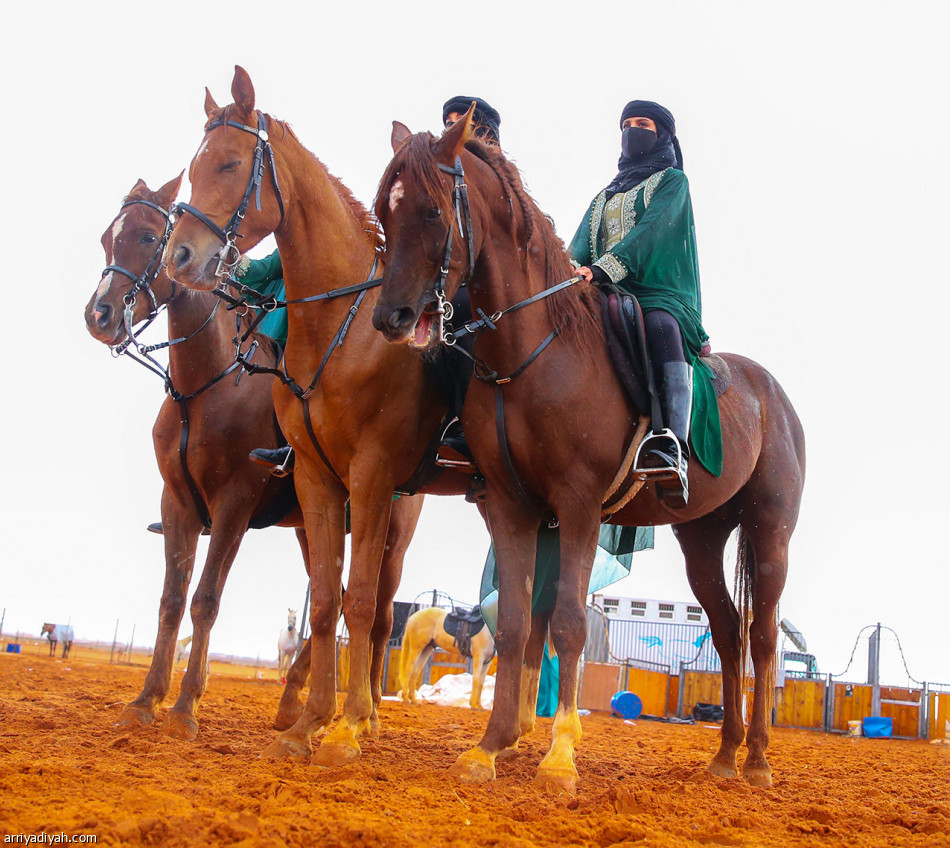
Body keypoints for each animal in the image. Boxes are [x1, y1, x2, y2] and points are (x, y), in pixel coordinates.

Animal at [86, 177, 424, 736]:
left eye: (149, 236)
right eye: (107, 239)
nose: (99, 315)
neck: (201, 390)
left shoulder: (234, 506)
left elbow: (205, 600)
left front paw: (185, 707)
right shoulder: (176, 505)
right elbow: (171, 601)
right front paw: (146, 700)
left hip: (391, 533)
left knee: (379, 613)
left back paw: (369, 711)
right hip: (313, 523)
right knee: (331, 597)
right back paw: (292, 704)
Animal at [165, 69, 474, 764]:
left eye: (229, 163)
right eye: (192, 168)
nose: (180, 258)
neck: (342, 328)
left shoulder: (371, 477)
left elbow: (358, 605)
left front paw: (347, 727)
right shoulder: (314, 479)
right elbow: (328, 601)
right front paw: (309, 724)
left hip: (401, 519)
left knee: (386, 611)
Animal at [376, 109, 808, 792]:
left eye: (431, 211)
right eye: (382, 210)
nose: (391, 316)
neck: (532, 352)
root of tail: (772, 396)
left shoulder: (577, 506)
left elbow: (568, 624)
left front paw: (557, 758)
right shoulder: (510, 508)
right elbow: (517, 623)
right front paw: (490, 747)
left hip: (769, 532)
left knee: (763, 637)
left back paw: (759, 760)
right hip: (703, 534)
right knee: (728, 632)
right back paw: (723, 756)